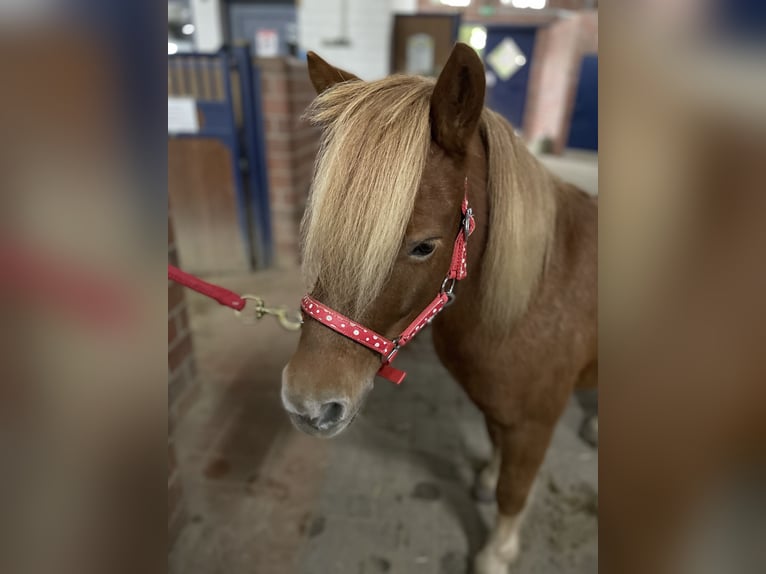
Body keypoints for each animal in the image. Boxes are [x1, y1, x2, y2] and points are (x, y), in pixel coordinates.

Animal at [282, 45, 600, 574]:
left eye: (424, 247)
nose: (306, 406)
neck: (531, 296)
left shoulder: (535, 423)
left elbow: (514, 492)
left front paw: (496, 553)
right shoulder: (499, 404)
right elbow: (494, 444)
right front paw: (486, 479)